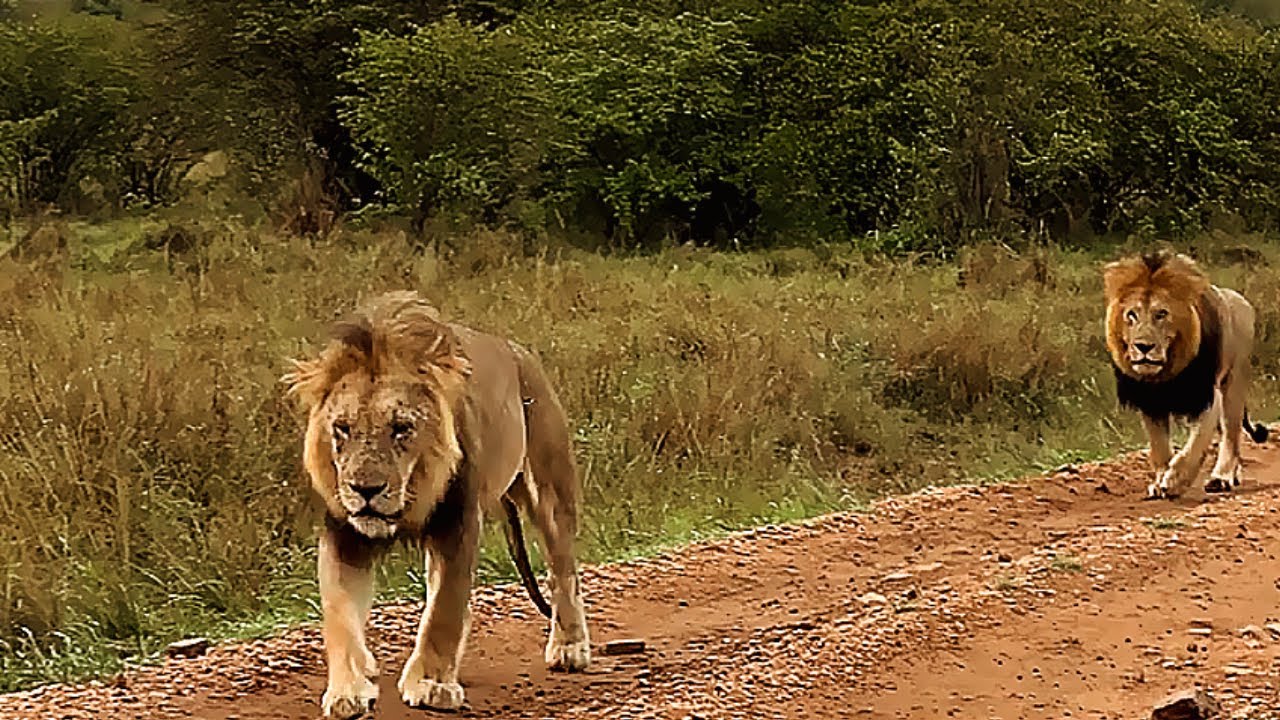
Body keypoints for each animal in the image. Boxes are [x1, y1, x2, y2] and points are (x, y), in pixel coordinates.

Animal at [284, 291, 591, 718]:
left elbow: (445, 609)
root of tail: (520, 353)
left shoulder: (457, 523)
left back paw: (569, 647)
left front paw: (431, 685)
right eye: (342, 429)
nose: (365, 489)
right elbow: (339, 615)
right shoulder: (343, 533)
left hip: (549, 490)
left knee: (563, 572)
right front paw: (347, 691)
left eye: (401, 428)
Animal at [1103, 251, 1269, 499]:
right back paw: (1234, 475)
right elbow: (1159, 448)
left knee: (1231, 435)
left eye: (1161, 314)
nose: (1144, 347)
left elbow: (1195, 447)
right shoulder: (1150, 403)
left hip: (1233, 384)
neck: (1165, 373)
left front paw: (1174, 481)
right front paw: (1160, 480)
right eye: (1131, 315)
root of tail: (1239, 299)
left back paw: (1221, 477)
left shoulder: (1207, 397)